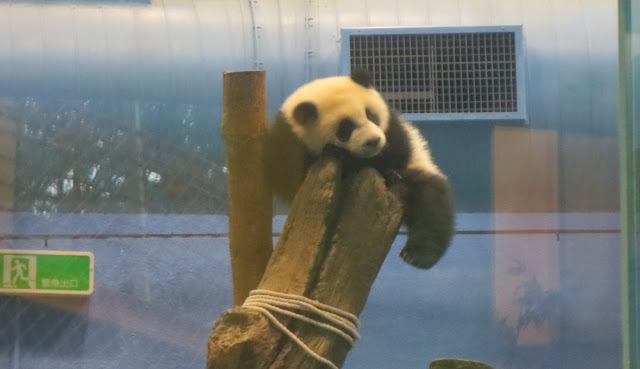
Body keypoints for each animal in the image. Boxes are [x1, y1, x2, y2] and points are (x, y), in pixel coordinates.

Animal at [266, 70, 456, 268]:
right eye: (345, 128)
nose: (373, 141)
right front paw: (336, 153)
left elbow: (396, 154)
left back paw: (417, 254)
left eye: (371, 115)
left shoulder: (393, 129)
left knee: (430, 203)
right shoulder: (287, 141)